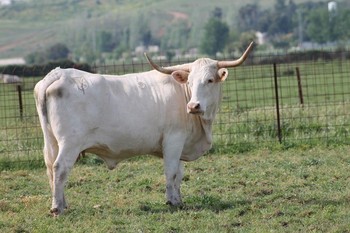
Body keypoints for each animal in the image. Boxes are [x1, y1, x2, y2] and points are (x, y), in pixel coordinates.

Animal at [34, 41, 254, 215]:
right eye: (190, 81)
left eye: (209, 80)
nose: (193, 106)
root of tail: (58, 74)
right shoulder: (173, 140)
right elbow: (171, 172)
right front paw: (171, 201)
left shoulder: (180, 144)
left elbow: (179, 174)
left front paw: (179, 199)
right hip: (70, 143)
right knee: (60, 168)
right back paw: (57, 208)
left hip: (51, 142)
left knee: (51, 169)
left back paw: (62, 203)